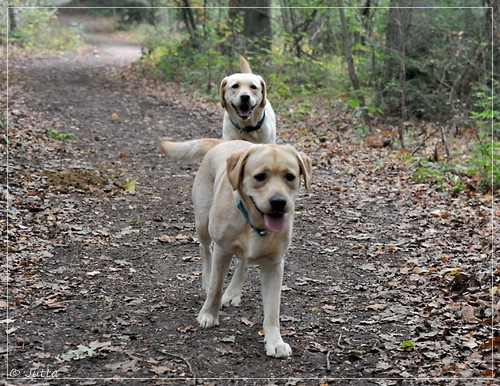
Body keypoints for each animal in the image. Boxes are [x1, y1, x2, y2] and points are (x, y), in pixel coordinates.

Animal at [161, 137, 308, 358]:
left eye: (290, 177)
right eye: (260, 176)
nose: (279, 202)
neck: (254, 223)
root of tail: (222, 142)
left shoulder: (274, 264)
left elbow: (273, 309)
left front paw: (275, 341)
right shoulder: (222, 250)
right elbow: (215, 288)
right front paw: (208, 315)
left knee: (243, 263)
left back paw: (232, 293)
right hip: (203, 223)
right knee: (205, 250)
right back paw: (207, 279)